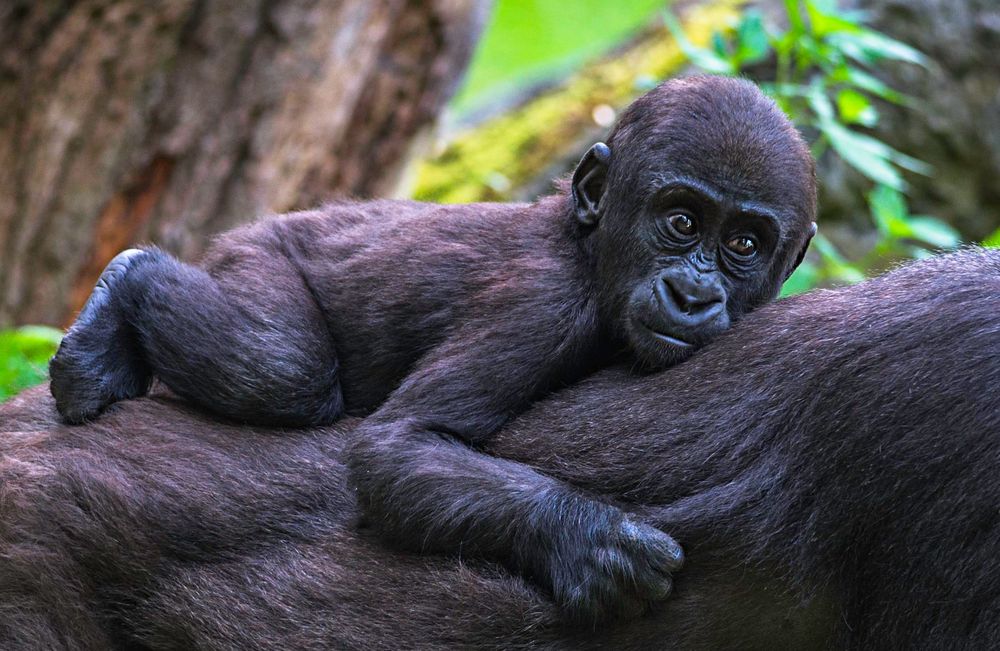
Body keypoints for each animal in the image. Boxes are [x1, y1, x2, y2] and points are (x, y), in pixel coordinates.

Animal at [48, 76, 812, 620]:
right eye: (680, 221)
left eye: (744, 243)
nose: (692, 291)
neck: (589, 248)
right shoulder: (540, 307)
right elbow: (402, 442)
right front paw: (587, 541)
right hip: (257, 255)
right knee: (280, 368)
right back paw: (124, 288)